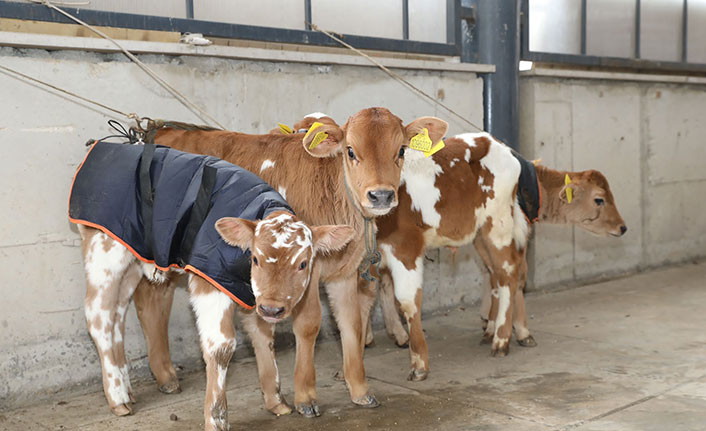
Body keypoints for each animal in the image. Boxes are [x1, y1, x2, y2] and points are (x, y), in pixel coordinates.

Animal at [71, 142, 352, 428]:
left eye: (303, 264)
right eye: (256, 258)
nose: (273, 309)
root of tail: (105, 147)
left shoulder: (251, 294)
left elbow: (263, 335)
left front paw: (276, 401)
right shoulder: (209, 281)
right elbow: (221, 347)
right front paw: (216, 418)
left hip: (132, 259)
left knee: (117, 315)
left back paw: (126, 388)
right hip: (105, 250)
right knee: (99, 314)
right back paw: (117, 396)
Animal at [137, 107, 446, 412]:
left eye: (401, 150)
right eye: (350, 151)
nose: (381, 195)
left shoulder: (344, 270)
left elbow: (351, 323)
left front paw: (360, 390)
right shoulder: (305, 269)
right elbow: (309, 325)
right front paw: (305, 396)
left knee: (152, 300)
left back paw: (166, 376)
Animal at [288, 115, 624, 382]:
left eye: (399, 151)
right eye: (350, 152)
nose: (622, 228)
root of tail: (499, 145)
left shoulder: (404, 246)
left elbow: (407, 301)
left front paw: (418, 362)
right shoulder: (363, 262)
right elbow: (360, 308)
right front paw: (354, 359)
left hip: (498, 226)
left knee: (509, 273)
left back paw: (502, 338)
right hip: (482, 233)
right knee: (499, 274)